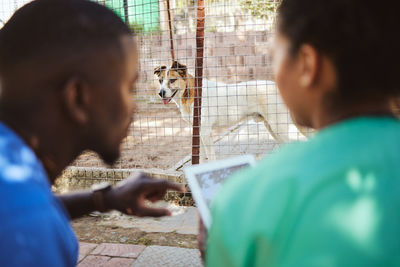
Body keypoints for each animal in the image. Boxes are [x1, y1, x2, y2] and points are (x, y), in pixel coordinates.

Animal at [154, 61, 306, 162]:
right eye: (160, 80)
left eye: (172, 80)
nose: (160, 93)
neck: (190, 94)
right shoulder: (199, 131)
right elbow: (202, 156)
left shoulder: (206, 132)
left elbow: (211, 157)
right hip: (271, 127)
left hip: (278, 127)